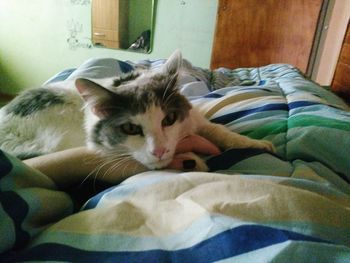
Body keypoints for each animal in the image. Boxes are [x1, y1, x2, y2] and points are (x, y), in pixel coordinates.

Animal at [0, 50, 274, 172]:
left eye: (169, 119)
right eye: (131, 128)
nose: (159, 150)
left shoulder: (194, 118)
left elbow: (219, 131)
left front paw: (256, 144)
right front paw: (191, 161)